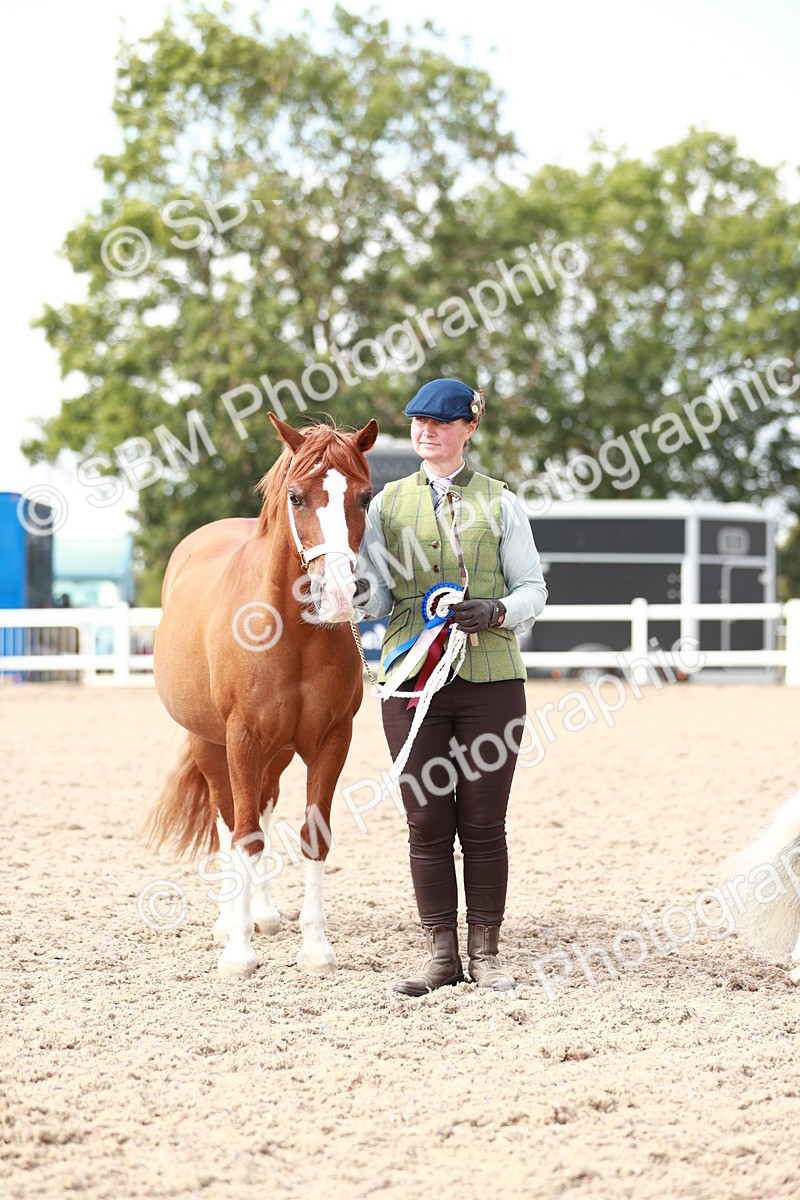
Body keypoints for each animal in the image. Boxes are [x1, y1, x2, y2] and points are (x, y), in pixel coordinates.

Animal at [146, 413, 378, 977]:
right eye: (296, 496)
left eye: (364, 497)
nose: (340, 594)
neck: (289, 633)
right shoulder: (243, 739)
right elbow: (243, 833)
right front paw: (238, 951)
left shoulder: (331, 740)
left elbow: (313, 834)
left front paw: (315, 947)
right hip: (210, 744)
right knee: (229, 816)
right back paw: (230, 920)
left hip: (278, 752)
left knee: (266, 807)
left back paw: (264, 913)